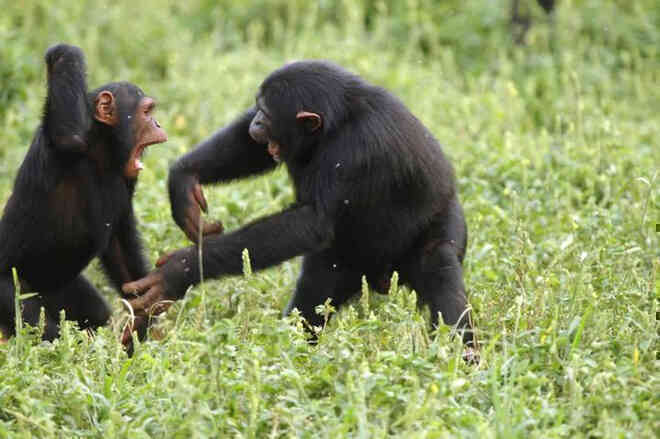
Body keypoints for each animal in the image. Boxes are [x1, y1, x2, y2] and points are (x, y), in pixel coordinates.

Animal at [0, 43, 168, 342]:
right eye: (146, 112)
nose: (158, 124)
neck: (101, 148)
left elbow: (119, 243)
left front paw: (145, 308)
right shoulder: (65, 144)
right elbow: (68, 134)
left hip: (62, 289)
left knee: (94, 313)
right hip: (7, 290)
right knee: (39, 328)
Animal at [122, 60, 474, 360]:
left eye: (266, 112)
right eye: (258, 107)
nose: (257, 119)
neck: (337, 123)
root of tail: (383, 277)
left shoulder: (354, 152)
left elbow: (311, 222)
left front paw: (179, 270)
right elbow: (253, 147)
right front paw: (184, 179)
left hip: (445, 223)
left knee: (440, 269)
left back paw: (459, 357)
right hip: (345, 265)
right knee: (315, 295)